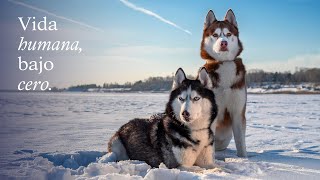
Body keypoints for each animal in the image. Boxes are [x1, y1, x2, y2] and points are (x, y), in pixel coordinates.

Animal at [200, 9, 248, 157]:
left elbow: (240, 142)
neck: (224, 63)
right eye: (215, 35)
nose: (223, 43)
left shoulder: (238, 111)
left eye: (228, 34)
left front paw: (244, 158)